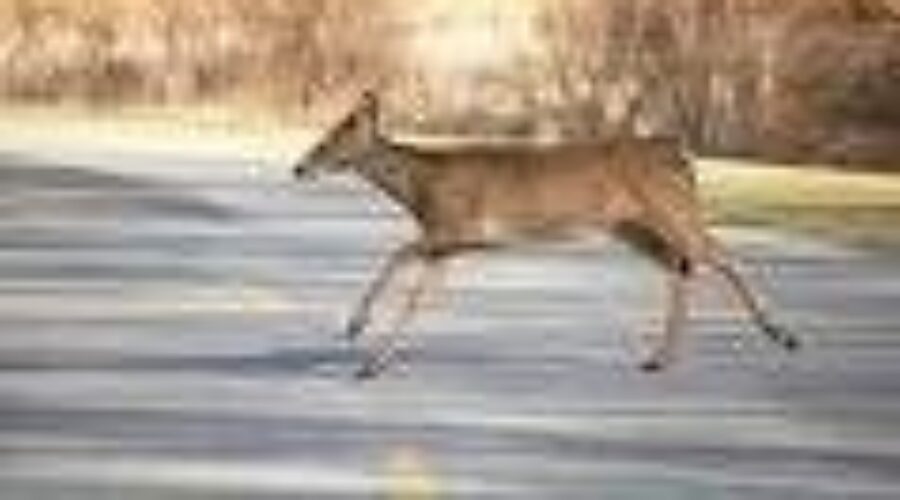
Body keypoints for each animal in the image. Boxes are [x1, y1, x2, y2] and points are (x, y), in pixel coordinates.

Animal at [292, 91, 799, 378]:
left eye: (333, 137)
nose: (299, 167)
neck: (421, 186)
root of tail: (679, 154)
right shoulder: (451, 245)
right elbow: (417, 295)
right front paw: (372, 360)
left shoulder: (455, 226)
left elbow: (397, 255)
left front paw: (357, 334)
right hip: (631, 227)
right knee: (682, 266)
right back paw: (658, 359)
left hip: (670, 209)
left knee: (716, 254)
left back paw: (783, 335)